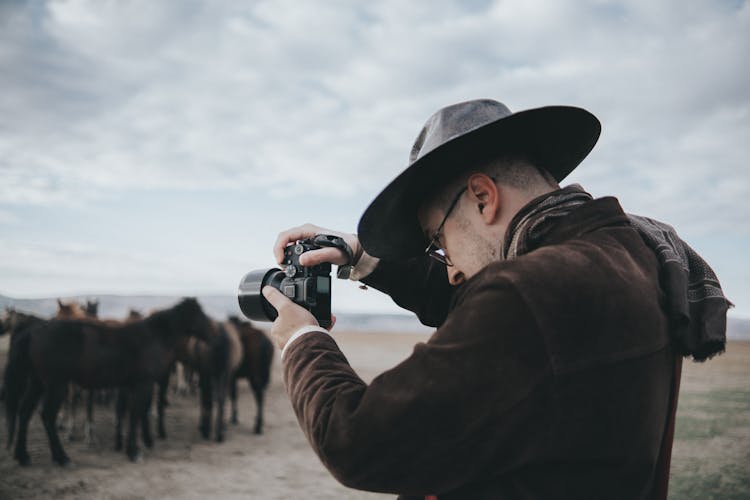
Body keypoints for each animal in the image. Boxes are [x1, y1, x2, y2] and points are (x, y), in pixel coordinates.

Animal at [5, 296, 212, 464]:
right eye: (200, 314)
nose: (213, 331)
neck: (152, 336)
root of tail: (33, 331)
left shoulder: (132, 385)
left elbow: (133, 413)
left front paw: (131, 444)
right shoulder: (143, 384)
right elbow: (136, 414)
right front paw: (134, 452)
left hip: (38, 383)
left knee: (24, 412)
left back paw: (23, 456)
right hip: (56, 385)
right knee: (47, 416)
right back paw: (61, 457)